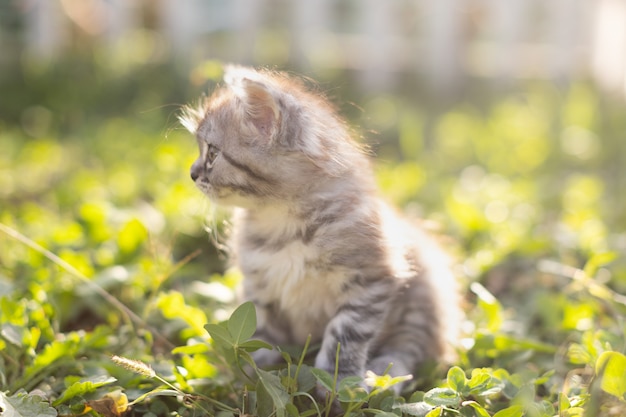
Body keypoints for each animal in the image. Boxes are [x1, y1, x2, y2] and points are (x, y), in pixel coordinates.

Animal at [180, 65, 458, 390]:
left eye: (212, 153)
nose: (192, 173)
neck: (283, 222)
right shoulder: (258, 285)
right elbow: (259, 336)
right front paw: (255, 377)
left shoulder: (372, 280)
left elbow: (345, 334)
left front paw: (339, 381)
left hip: (426, 294)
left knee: (409, 349)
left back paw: (383, 376)